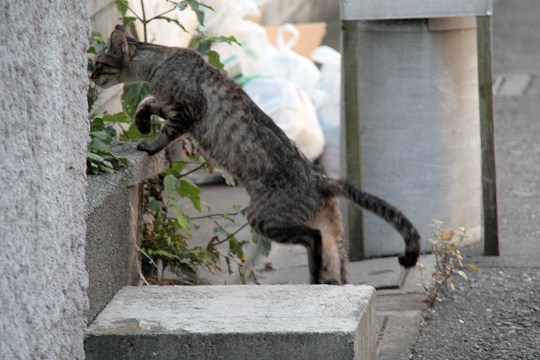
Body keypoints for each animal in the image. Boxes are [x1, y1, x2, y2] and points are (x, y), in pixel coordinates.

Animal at [92, 25, 422, 284]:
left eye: (98, 63)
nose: (91, 76)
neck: (159, 62)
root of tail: (321, 179)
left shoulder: (188, 111)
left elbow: (165, 130)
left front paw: (148, 144)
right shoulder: (172, 106)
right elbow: (148, 101)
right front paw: (141, 120)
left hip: (263, 217)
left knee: (312, 238)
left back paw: (314, 277)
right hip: (332, 235)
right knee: (336, 263)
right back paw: (323, 283)